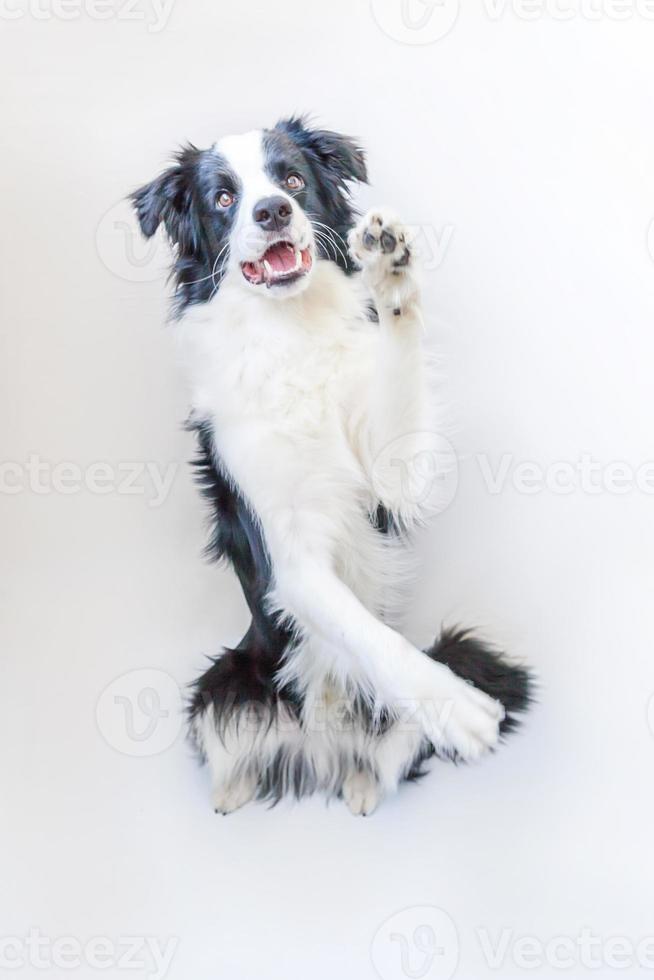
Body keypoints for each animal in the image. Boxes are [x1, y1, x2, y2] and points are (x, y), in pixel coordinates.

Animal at [133, 115, 532, 816]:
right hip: (224, 682)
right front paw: (453, 705)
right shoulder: (287, 561)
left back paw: (361, 788)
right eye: (224, 198)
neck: (291, 333)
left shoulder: (396, 474)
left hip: (378, 724)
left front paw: (391, 273)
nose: (272, 210)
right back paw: (232, 793)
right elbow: (367, 632)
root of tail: (317, 750)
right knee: (230, 738)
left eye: (292, 179)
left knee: (388, 756)